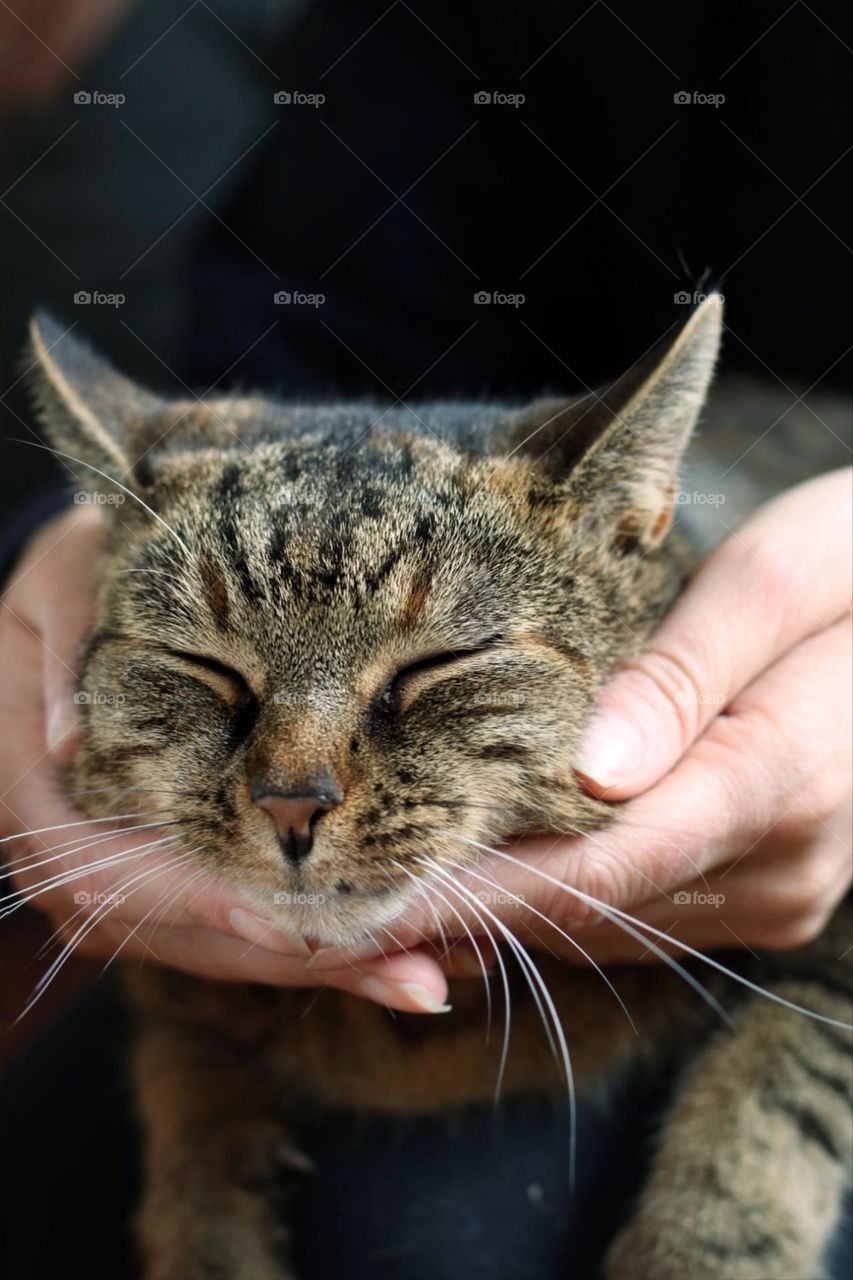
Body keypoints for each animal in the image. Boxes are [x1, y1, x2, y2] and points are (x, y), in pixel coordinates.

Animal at [26, 299, 850, 1280]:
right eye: (203, 667)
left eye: (436, 665)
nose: (291, 800)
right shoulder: (177, 1006)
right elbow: (187, 1119)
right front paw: (210, 1227)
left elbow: (766, 1106)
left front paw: (699, 1251)